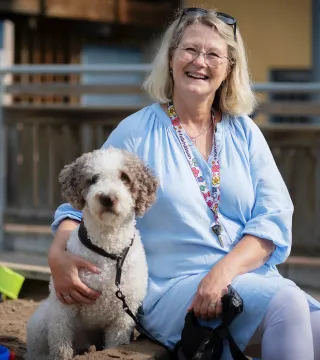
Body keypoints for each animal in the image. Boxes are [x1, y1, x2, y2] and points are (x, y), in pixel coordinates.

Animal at [25, 147, 158, 360]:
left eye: (124, 177)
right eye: (93, 178)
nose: (107, 198)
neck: (108, 252)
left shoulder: (123, 316)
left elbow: (116, 344)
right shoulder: (63, 307)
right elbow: (60, 344)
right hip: (40, 322)